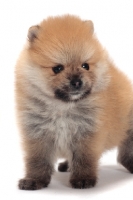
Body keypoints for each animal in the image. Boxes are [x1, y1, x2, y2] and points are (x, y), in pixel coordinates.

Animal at [15, 14, 133, 190]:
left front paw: (83, 179)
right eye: (57, 68)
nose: (77, 82)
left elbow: (84, 159)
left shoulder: (87, 134)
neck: (63, 107)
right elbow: (37, 160)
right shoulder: (38, 134)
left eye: (85, 66)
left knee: (126, 153)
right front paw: (34, 180)